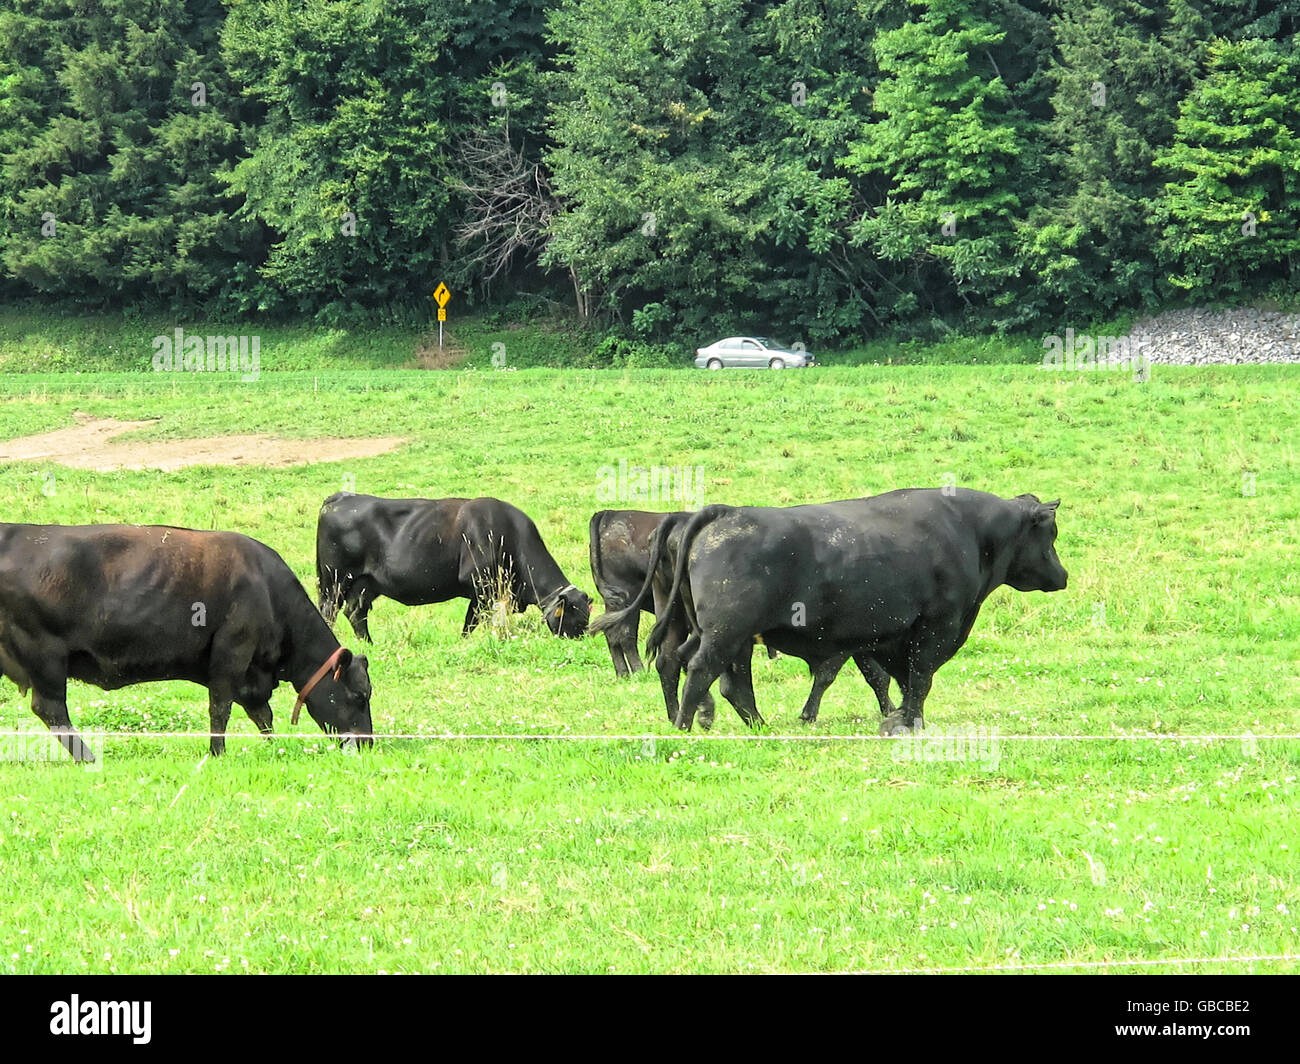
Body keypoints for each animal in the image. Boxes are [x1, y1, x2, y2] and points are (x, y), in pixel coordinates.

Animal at [0, 523, 374, 760]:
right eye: (359, 695)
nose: (368, 744)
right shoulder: (232, 651)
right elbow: (221, 707)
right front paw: (217, 753)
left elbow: (262, 714)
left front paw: (273, 746)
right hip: (44, 655)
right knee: (50, 708)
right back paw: (87, 757)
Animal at [317, 493, 591, 642]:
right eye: (574, 617)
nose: (581, 641)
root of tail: (341, 497)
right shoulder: (480, 586)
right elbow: (472, 622)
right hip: (334, 582)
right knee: (329, 613)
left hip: (364, 585)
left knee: (356, 614)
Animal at [606, 489, 1067, 733]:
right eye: (1051, 534)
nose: (1062, 575)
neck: (970, 531)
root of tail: (723, 513)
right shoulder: (936, 625)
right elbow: (919, 678)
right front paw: (910, 721)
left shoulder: (887, 637)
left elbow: (900, 680)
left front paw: (898, 717)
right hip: (725, 632)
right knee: (703, 669)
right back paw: (688, 723)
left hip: (711, 631)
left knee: (693, 667)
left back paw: (744, 722)